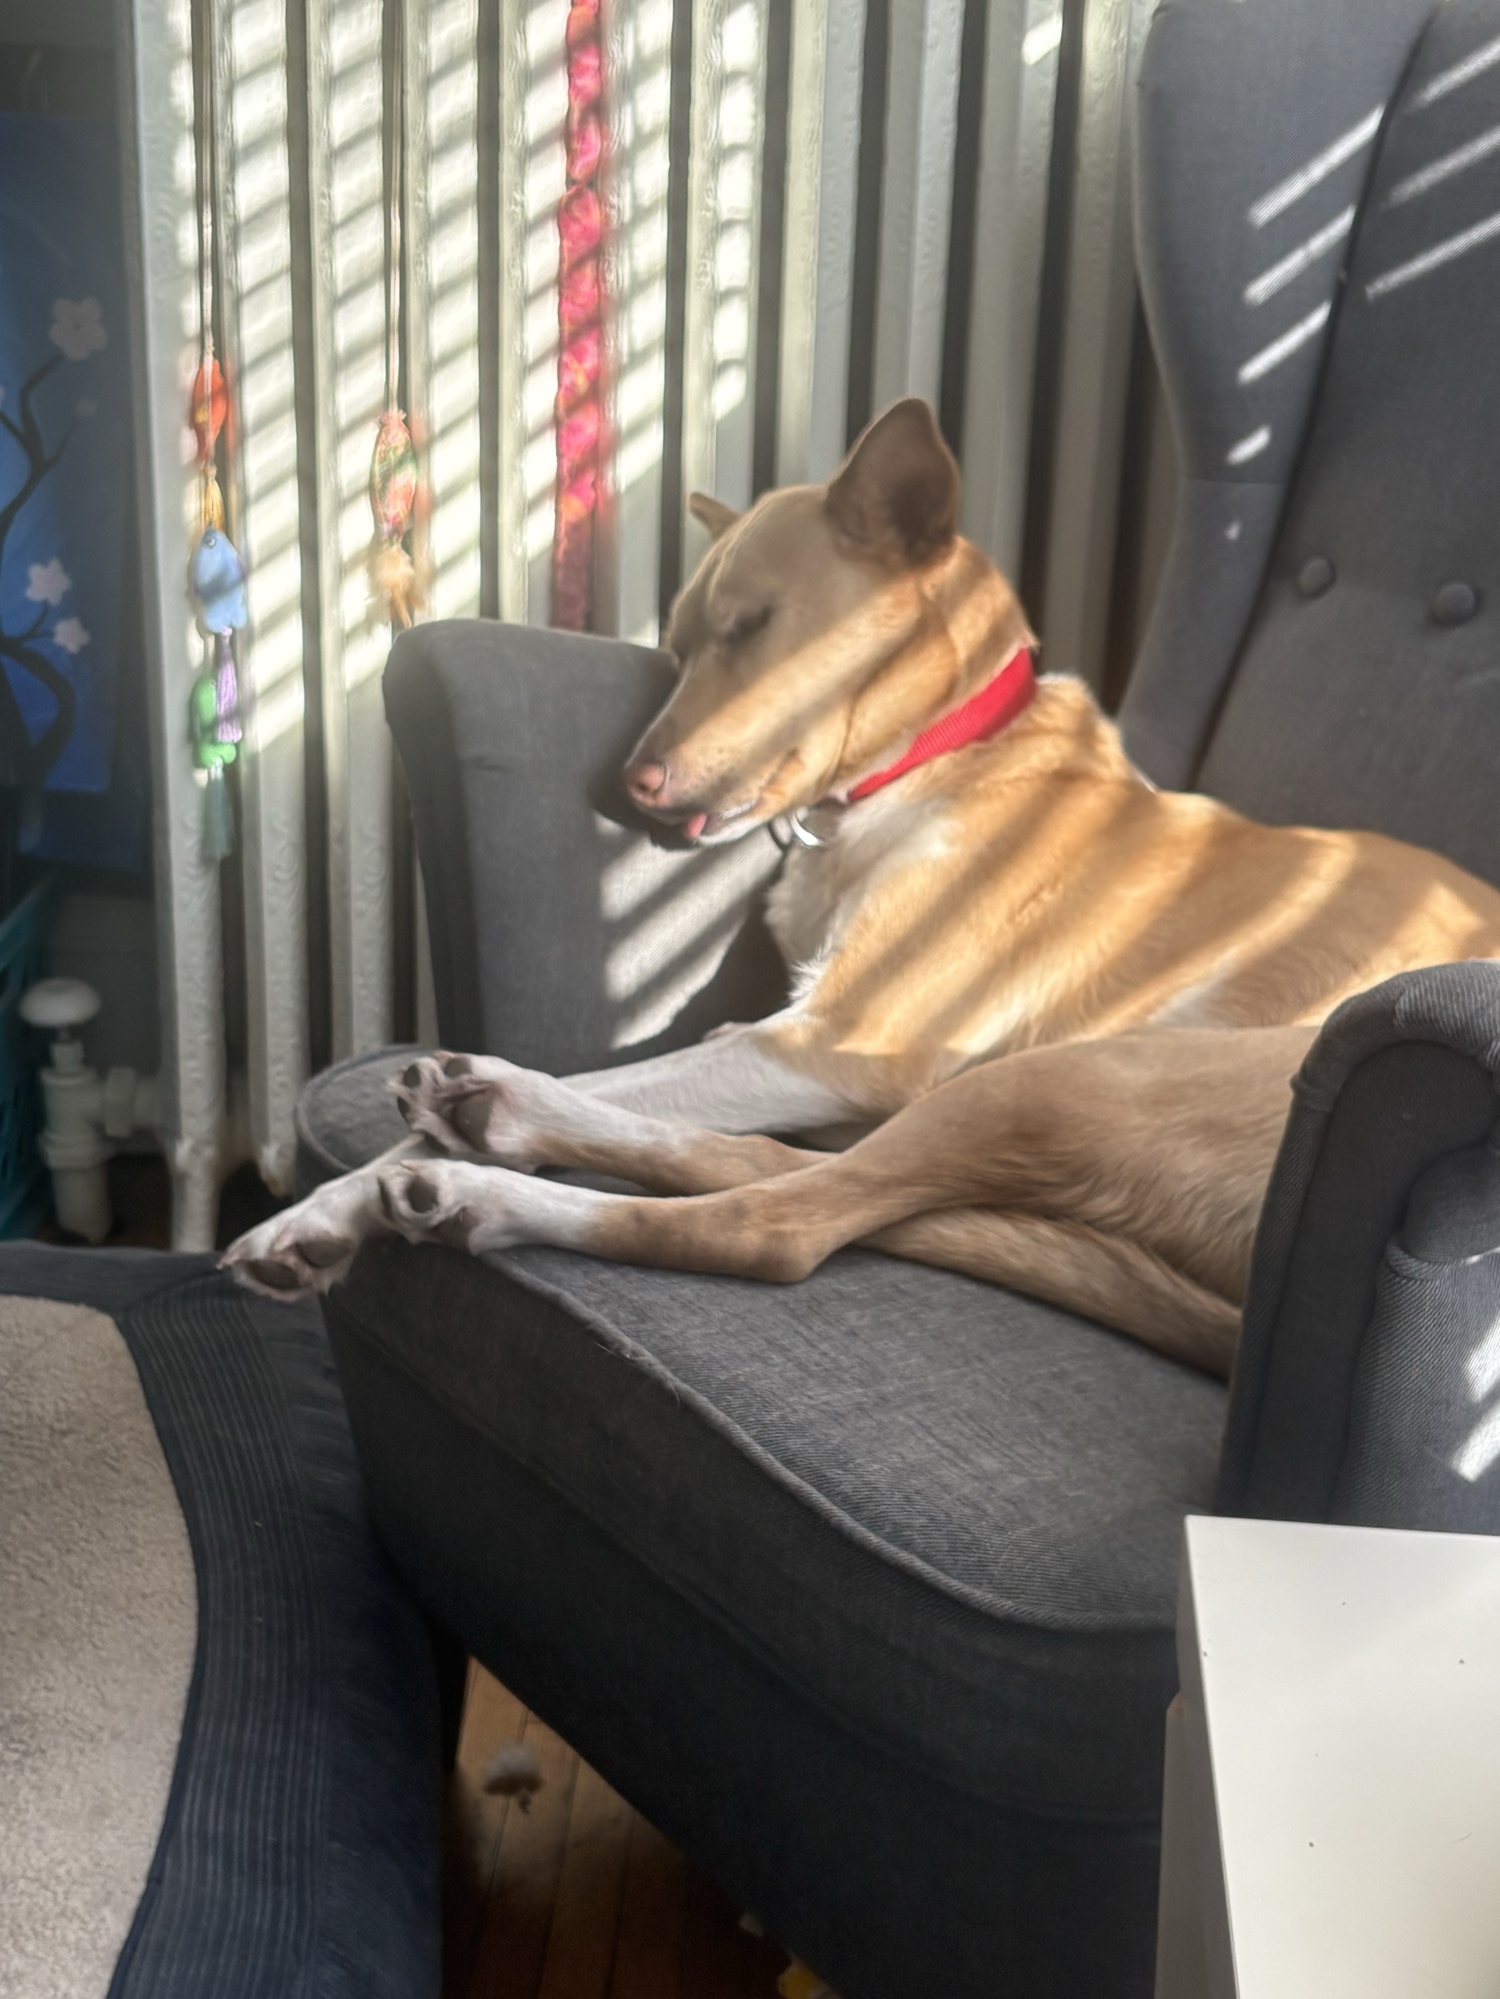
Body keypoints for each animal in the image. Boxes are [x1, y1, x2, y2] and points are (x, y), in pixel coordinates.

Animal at [223, 398, 1500, 1376]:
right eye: (675, 644)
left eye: (749, 626)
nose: (634, 786)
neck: (934, 761)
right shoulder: (802, 1043)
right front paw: (320, 1211)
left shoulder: (840, 1042)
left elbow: (636, 1086)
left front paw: (361, 1188)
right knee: (776, 1169)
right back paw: (485, 1125)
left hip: (1069, 1077)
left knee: (777, 1223)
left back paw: (491, 1156)